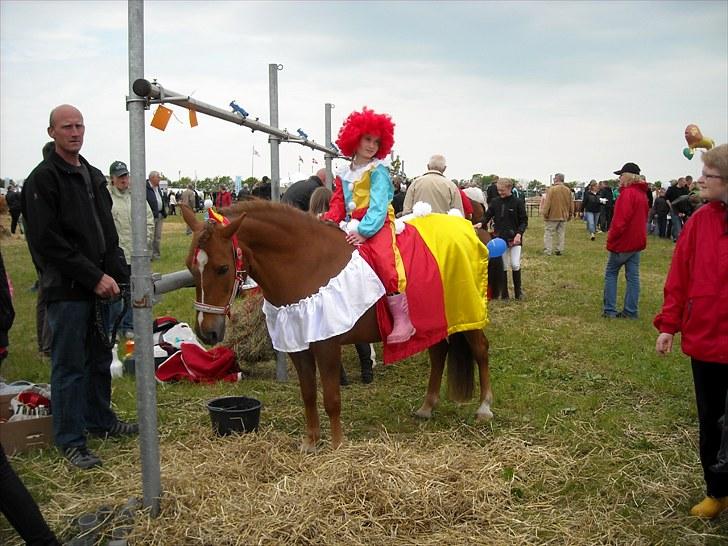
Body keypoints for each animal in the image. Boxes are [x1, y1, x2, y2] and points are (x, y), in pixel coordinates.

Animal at [179, 202, 492, 448]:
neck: (306, 261)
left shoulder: (326, 345)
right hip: (436, 320)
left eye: (222, 268)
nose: (207, 331)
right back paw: (427, 407)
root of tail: (468, 227)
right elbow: (308, 394)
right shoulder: (298, 345)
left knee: (481, 350)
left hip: (467, 314)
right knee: (438, 354)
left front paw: (337, 445)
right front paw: (311, 441)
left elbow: (331, 398)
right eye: (191, 267)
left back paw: (484, 407)